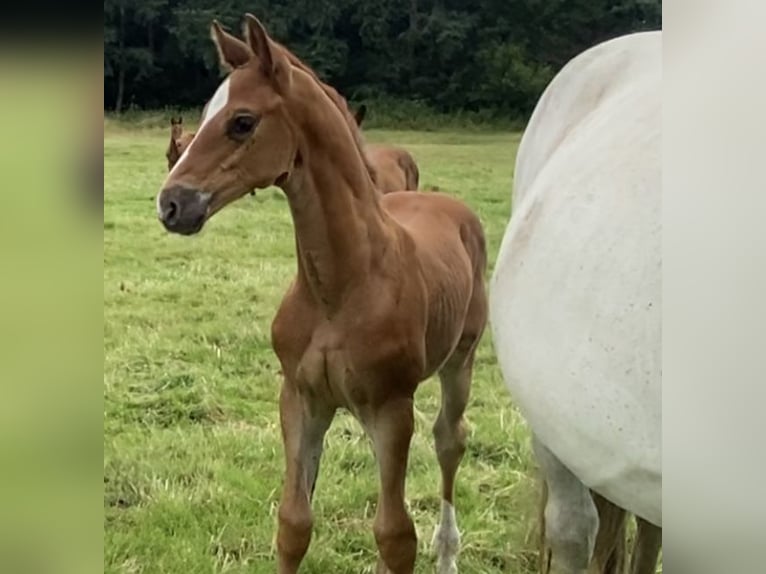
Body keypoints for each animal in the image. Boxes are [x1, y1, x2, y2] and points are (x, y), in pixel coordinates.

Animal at [155, 14, 488, 574]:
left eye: (242, 121)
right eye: (201, 117)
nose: (171, 204)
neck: (340, 288)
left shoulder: (391, 409)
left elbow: (395, 536)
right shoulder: (300, 399)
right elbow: (294, 524)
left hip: (459, 360)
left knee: (450, 440)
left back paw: (448, 552)